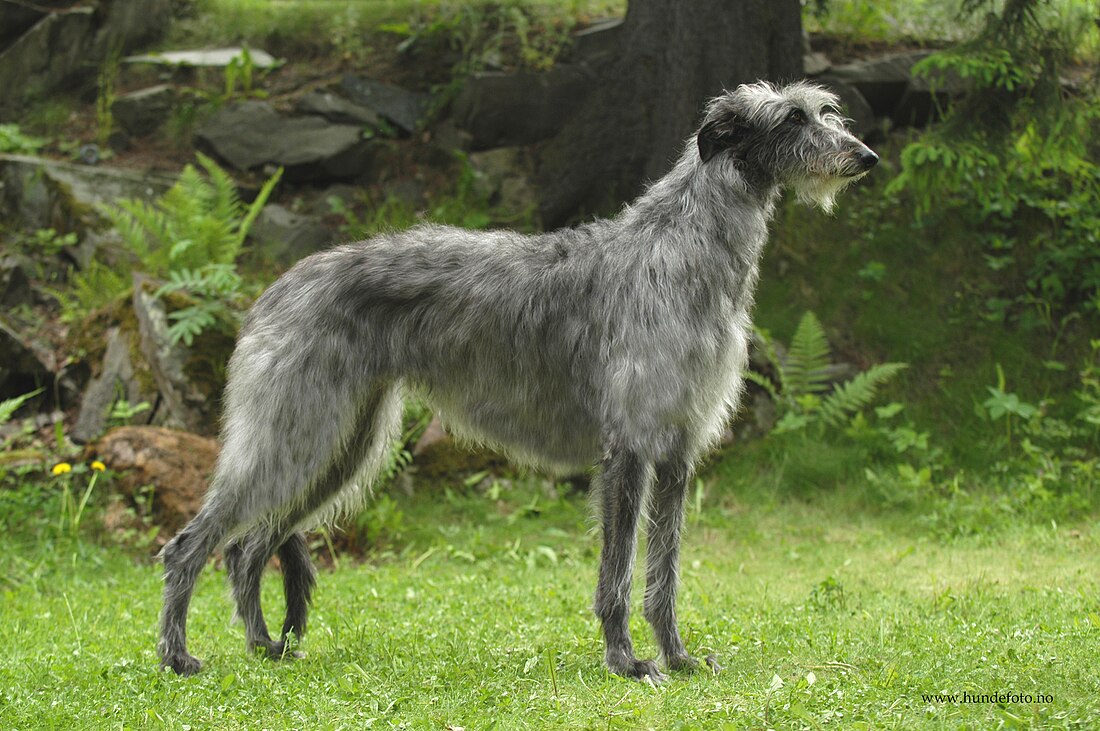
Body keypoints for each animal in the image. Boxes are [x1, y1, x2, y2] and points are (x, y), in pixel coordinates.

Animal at [159, 79, 875, 677]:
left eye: (824, 110)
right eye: (791, 118)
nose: (865, 156)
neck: (682, 250)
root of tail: (274, 288)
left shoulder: (676, 450)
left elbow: (664, 575)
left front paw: (677, 657)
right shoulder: (628, 448)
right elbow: (617, 576)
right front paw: (626, 662)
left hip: (341, 443)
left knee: (247, 550)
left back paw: (263, 647)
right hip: (297, 430)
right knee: (192, 546)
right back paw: (178, 656)